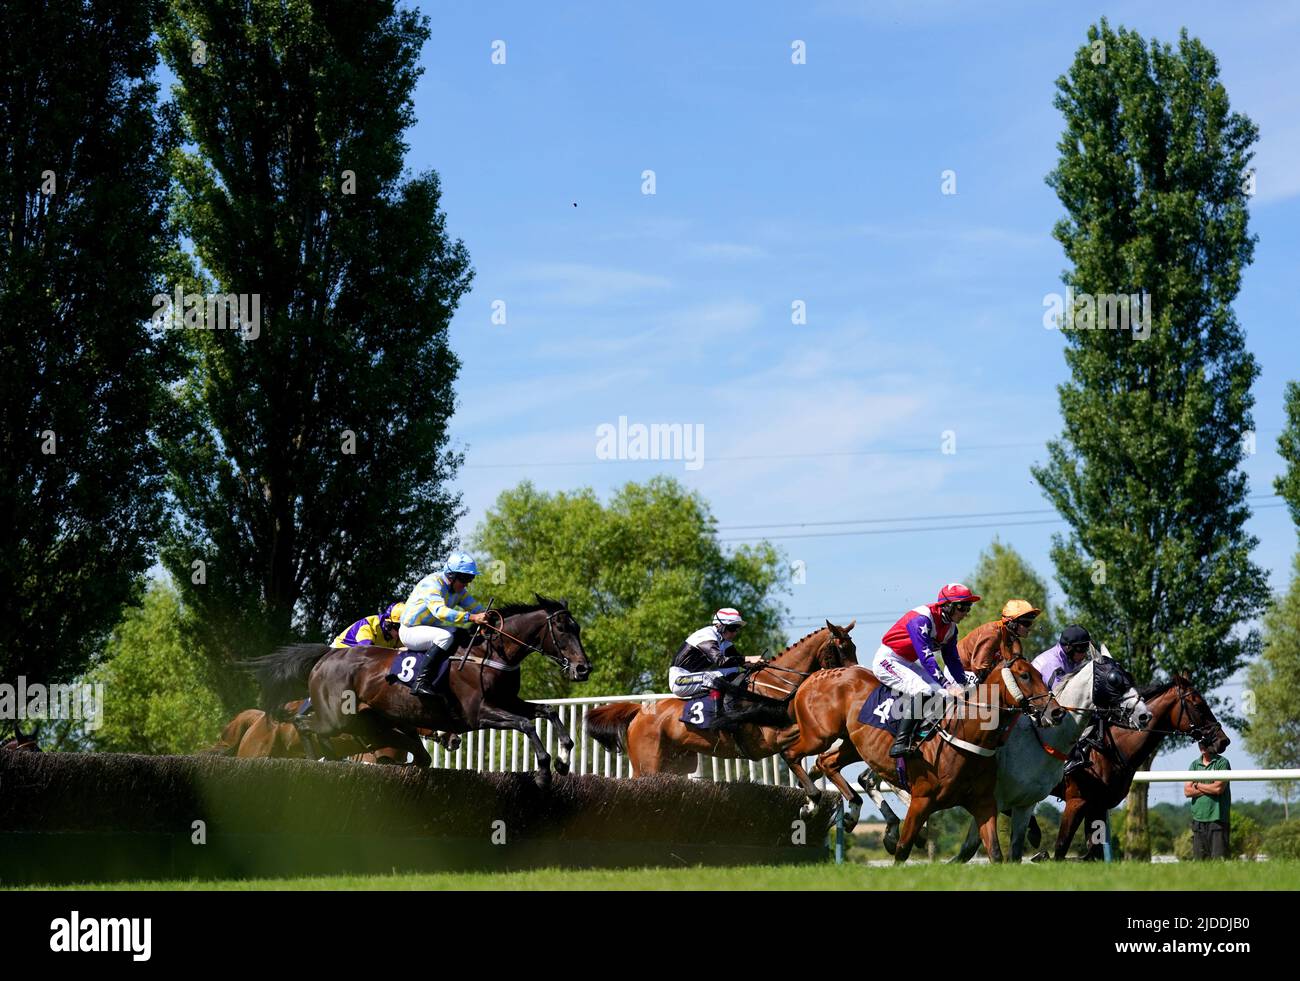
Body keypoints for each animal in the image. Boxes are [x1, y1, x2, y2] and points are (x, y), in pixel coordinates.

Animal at [244, 589, 590, 789]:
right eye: (561, 628)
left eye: (577, 628)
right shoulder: (479, 713)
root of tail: (326, 656)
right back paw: (317, 759)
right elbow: (526, 723)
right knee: (303, 723)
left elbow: (547, 711)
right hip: (336, 718)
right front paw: (544, 771)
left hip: (368, 722)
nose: (582, 668)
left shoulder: (507, 700)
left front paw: (563, 759)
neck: (489, 653)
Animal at [587, 626, 852, 779]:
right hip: (647, 765)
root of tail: (639, 712)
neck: (771, 686)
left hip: (676, 763)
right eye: (842, 648)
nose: (854, 674)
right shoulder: (768, 739)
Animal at [774, 649, 1060, 862]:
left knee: (827, 762)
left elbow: (995, 853)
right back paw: (813, 800)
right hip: (819, 735)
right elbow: (902, 849)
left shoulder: (983, 803)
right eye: (1024, 675)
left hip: (853, 745)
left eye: (1040, 674)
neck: (965, 735)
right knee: (792, 754)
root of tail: (815, 676)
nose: (1056, 712)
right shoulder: (922, 800)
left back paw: (853, 808)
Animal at [1050, 675, 1222, 857]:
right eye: (1198, 705)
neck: (1108, 750)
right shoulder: (1075, 801)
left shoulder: (1097, 805)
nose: (1223, 740)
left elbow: (1093, 851)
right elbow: (1061, 846)